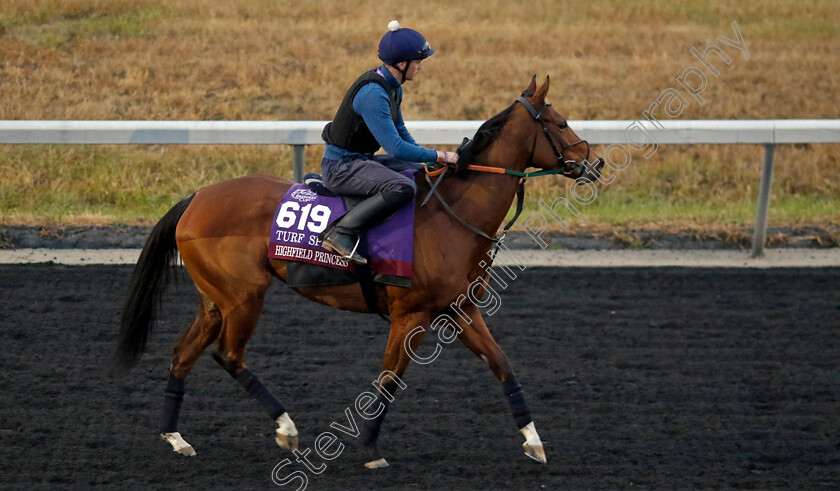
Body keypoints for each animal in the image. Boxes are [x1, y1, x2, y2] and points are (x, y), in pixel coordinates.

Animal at [116, 76, 604, 468]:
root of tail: (196, 197)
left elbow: (502, 365)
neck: (451, 216)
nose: (594, 162)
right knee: (229, 355)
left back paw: (176, 438)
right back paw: (286, 429)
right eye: (561, 123)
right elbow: (389, 380)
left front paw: (534, 441)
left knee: (183, 353)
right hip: (244, 297)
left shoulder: (460, 310)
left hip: (215, 300)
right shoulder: (411, 314)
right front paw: (370, 448)